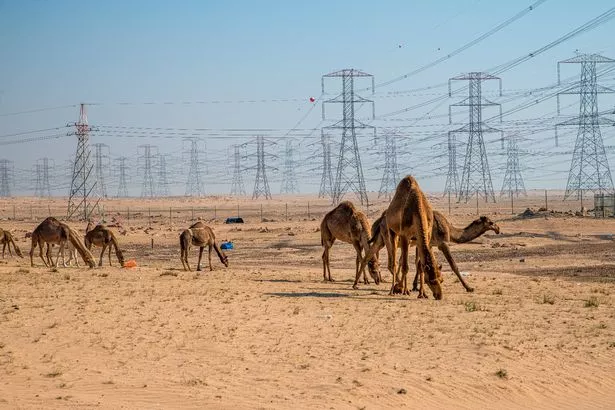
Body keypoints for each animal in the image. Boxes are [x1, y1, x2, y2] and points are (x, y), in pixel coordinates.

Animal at [368, 210, 498, 294]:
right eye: (491, 222)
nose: (498, 228)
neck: (450, 230)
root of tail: (380, 221)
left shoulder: (429, 244)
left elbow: (420, 264)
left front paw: (419, 286)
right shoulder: (442, 243)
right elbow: (453, 265)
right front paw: (469, 287)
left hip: (382, 240)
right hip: (390, 239)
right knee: (390, 263)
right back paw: (398, 287)